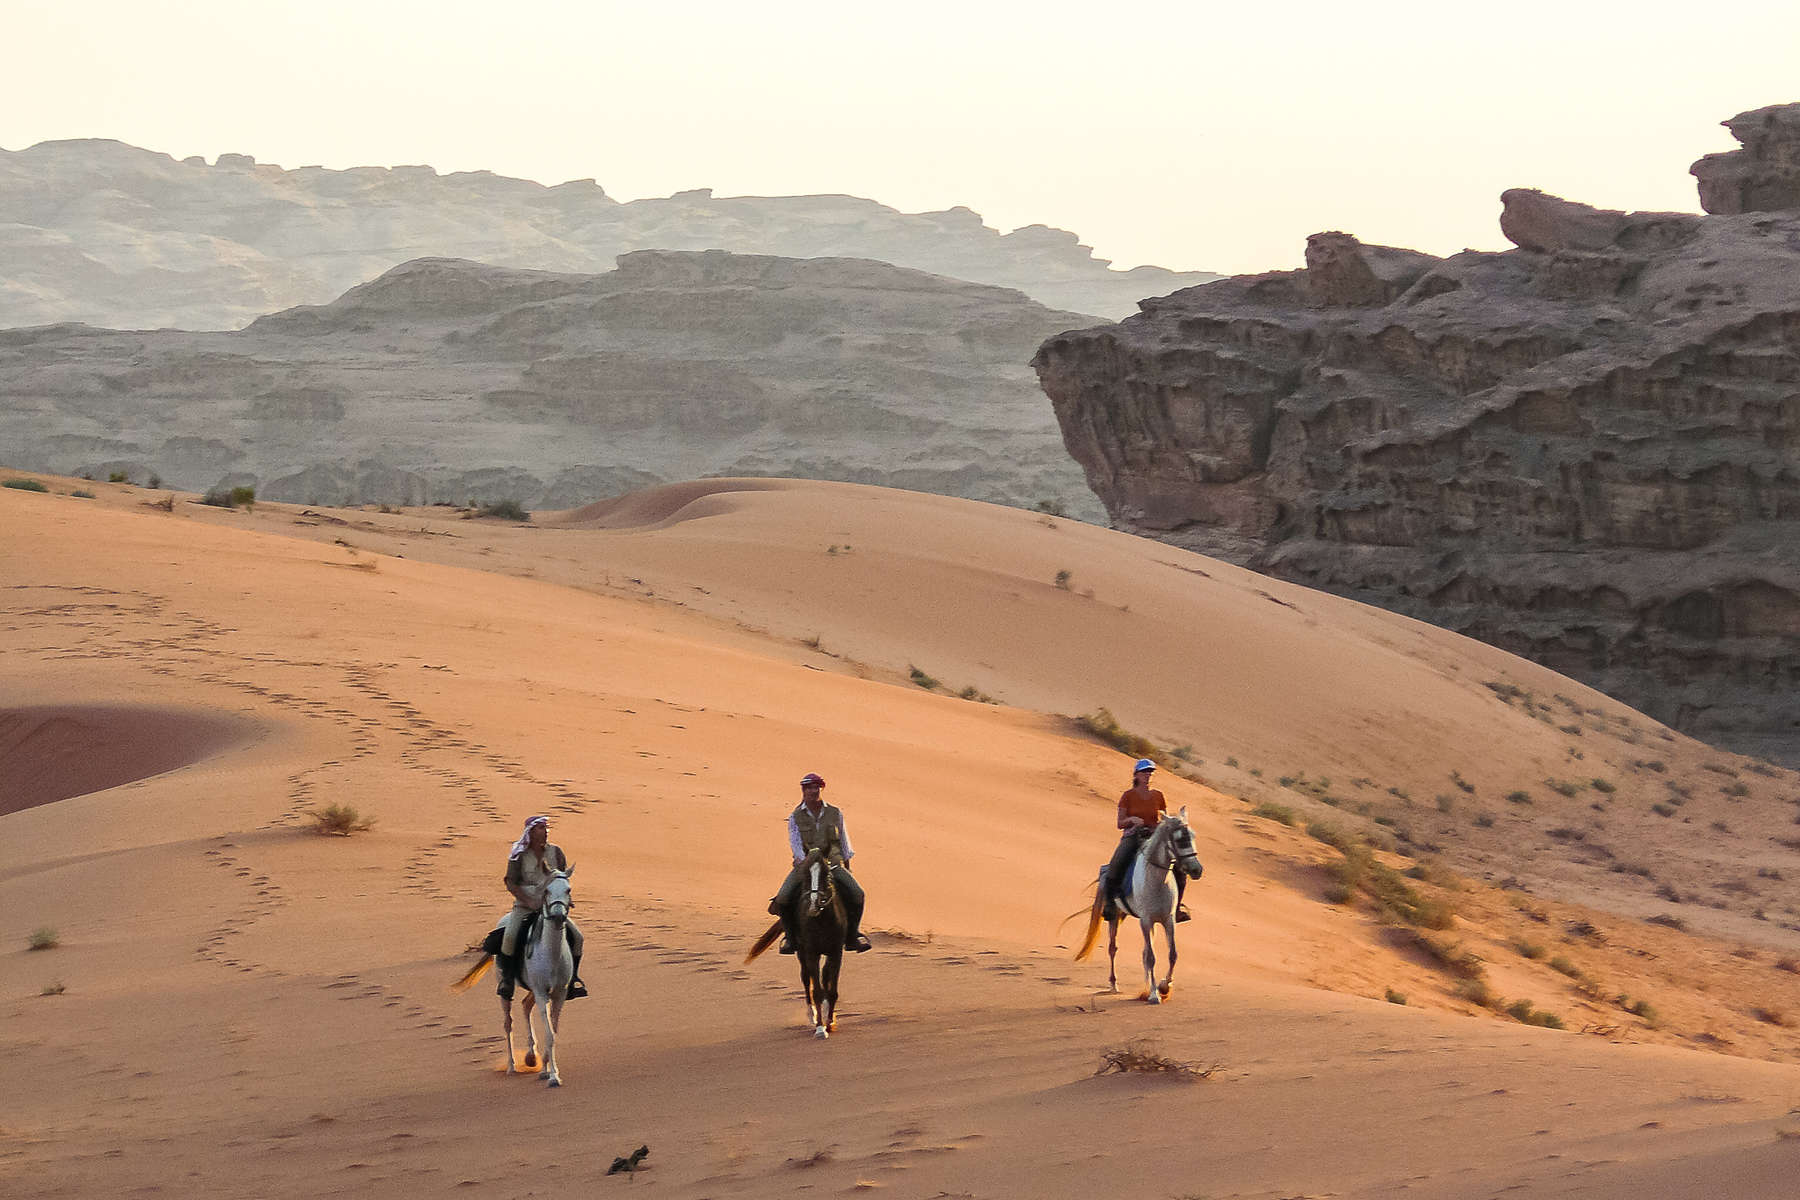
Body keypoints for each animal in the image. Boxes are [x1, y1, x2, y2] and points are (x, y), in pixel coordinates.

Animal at [1072, 816, 1202, 1007]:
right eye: (1179, 839)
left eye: (1193, 835)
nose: (1197, 870)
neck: (1157, 880)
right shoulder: (1146, 920)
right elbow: (1151, 958)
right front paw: (1155, 994)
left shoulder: (1168, 920)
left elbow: (1172, 955)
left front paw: (1164, 987)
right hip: (1116, 917)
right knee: (1113, 948)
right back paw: (1114, 985)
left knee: (1144, 951)